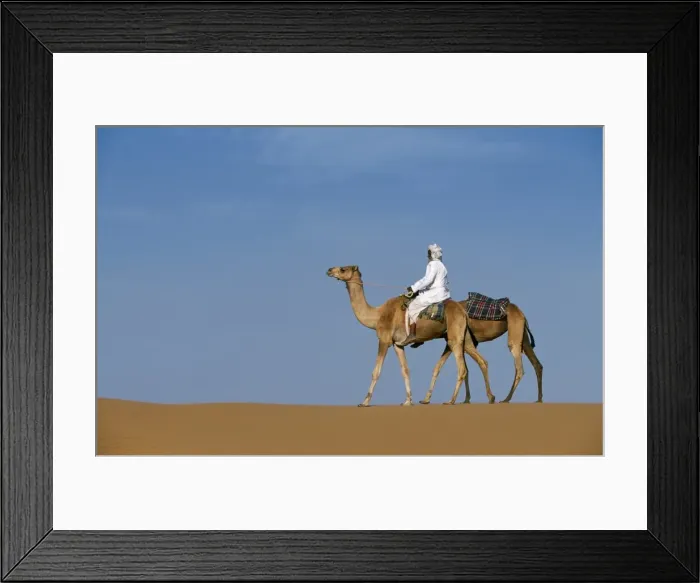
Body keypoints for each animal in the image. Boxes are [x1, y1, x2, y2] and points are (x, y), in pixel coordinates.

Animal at [326, 265, 495, 407]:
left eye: (343, 269)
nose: (329, 270)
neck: (377, 316)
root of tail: (463, 311)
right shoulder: (397, 344)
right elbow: (405, 370)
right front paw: (408, 401)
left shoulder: (384, 340)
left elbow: (376, 371)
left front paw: (364, 402)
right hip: (464, 336)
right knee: (481, 360)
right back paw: (490, 397)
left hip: (454, 336)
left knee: (462, 368)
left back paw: (451, 401)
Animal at [413, 298, 543, 405]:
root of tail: (521, 313)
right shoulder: (453, 343)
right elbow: (441, 367)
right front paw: (426, 399)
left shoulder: (459, 341)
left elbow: (472, 366)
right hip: (523, 336)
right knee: (537, 364)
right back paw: (539, 399)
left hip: (514, 332)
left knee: (519, 367)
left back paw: (506, 399)